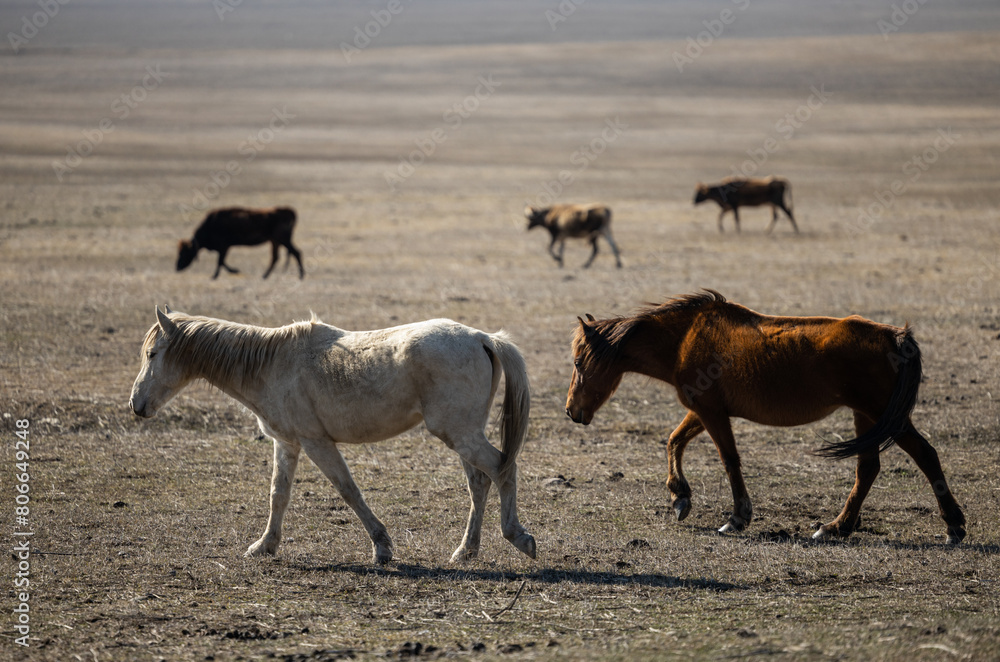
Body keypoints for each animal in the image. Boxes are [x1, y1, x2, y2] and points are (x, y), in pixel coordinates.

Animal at [129, 307, 536, 564]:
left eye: (152, 354)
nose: (136, 404)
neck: (271, 364)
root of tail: (482, 338)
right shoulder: (287, 443)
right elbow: (278, 495)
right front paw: (264, 546)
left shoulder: (316, 443)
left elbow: (348, 490)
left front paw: (382, 548)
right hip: (462, 435)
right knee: (479, 484)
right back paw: (465, 551)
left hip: (460, 434)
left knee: (503, 469)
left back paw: (518, 537)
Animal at [565, 290, 965, 544]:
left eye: (578, 362)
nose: (571, 410)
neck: (685, 337)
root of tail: (895, 336)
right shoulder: (703, 409)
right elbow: (674, 441)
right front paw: (681, 497)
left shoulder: (711, 411)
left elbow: (729, 459)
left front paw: (736, 518)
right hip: (865, 417)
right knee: (868, 468)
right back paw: (837, 528)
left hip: (882, 415)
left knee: (925, 455)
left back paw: (954, 527)